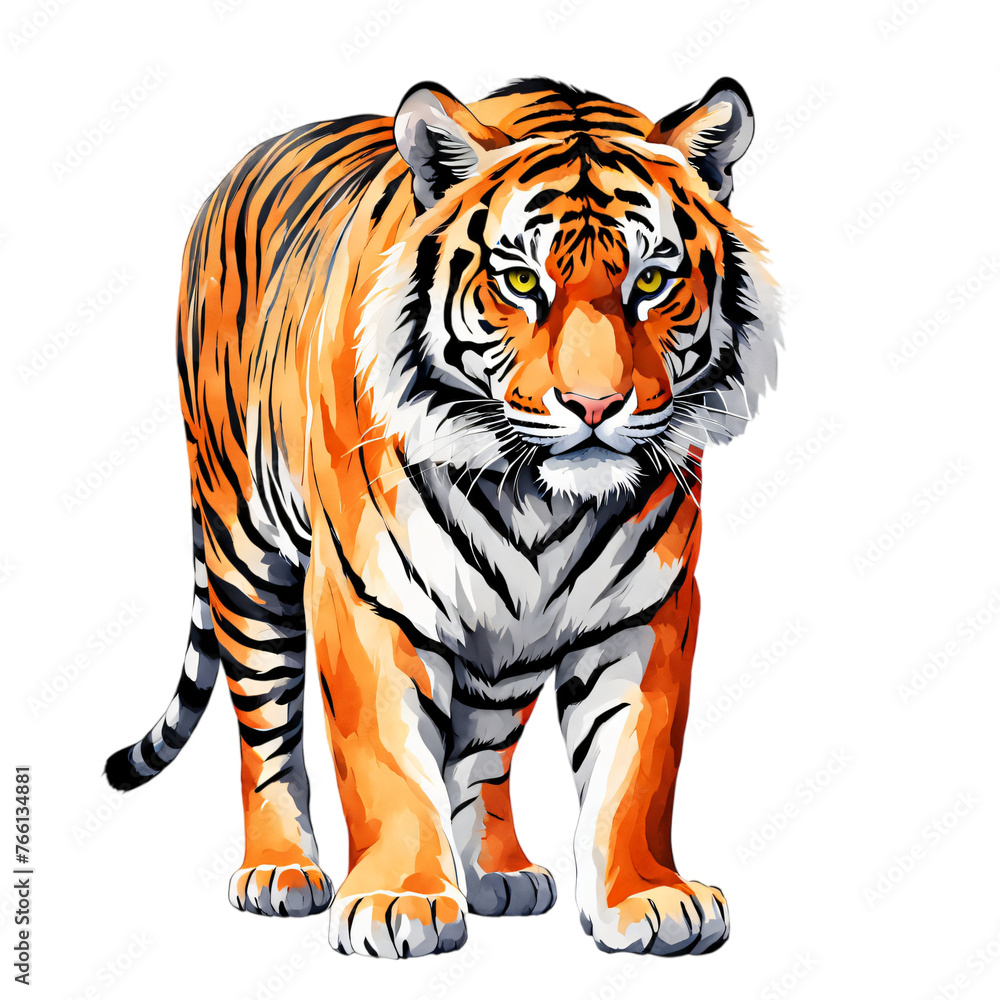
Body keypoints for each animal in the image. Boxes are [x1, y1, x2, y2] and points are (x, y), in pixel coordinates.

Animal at [106, 76, 780, 958]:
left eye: (651, 282)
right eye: (522, 283)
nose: (596, 406)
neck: (533, 499)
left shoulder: (646, 607)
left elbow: (638, 768)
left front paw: (649, 898)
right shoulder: (363, 594)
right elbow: (383, 758)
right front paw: (400, 900)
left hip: (508, 639)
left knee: (483, 750)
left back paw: (499, 871)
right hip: (243, 553)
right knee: (266, 726)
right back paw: (280, 869)